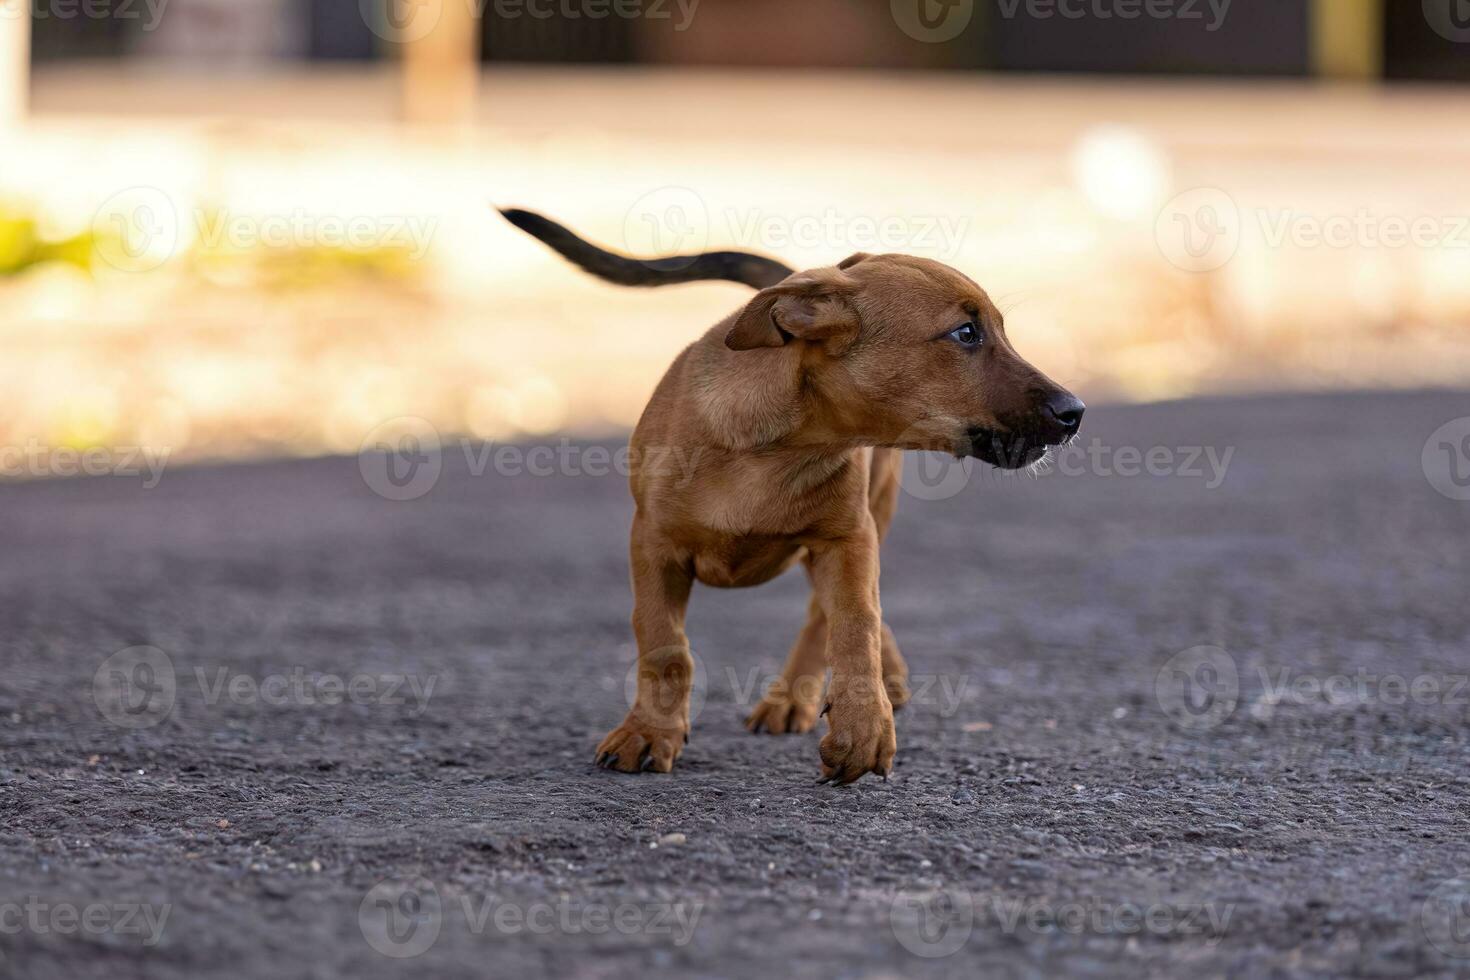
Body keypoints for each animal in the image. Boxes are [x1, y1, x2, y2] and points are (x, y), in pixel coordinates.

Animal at [505, 211, 1081, 787]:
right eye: (966, 333)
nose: (1074, 412)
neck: (781, 448)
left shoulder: (847, 539)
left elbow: (854, 624)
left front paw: (862, 727)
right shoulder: (652, 544)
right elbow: (665, 646)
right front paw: (649, 733)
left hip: (868, 516)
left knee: (824, 615)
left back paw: (800, 698)